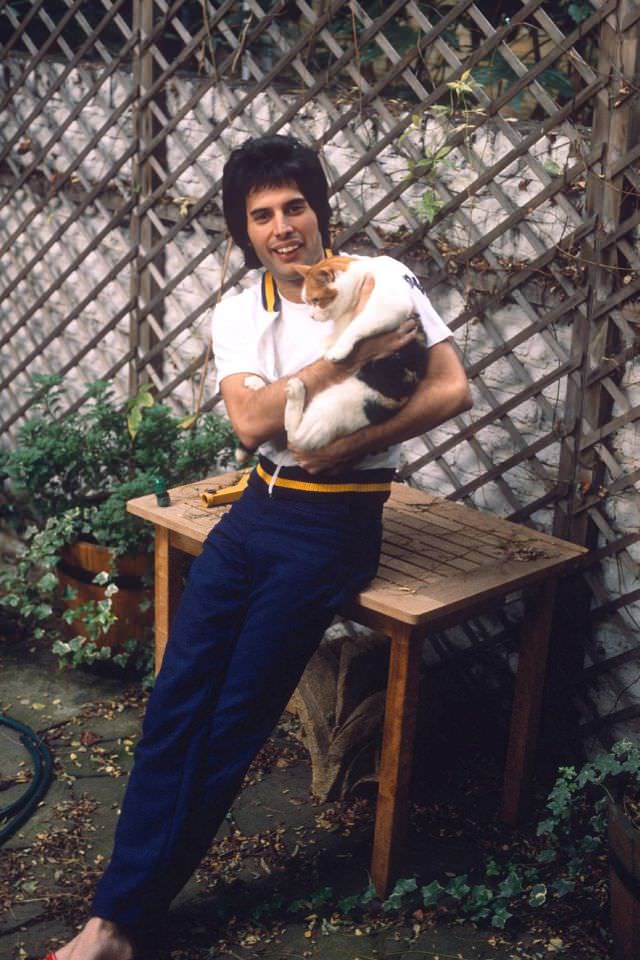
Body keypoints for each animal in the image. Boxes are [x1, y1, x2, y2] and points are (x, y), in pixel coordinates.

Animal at [284, 253, 428, 452]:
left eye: (316, 301)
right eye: (308, 302)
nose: (311, 317)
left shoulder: (389, 307)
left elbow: (356, 326)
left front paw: (338, 350)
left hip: (333, 404)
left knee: (296, 438)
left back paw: (295, 390)